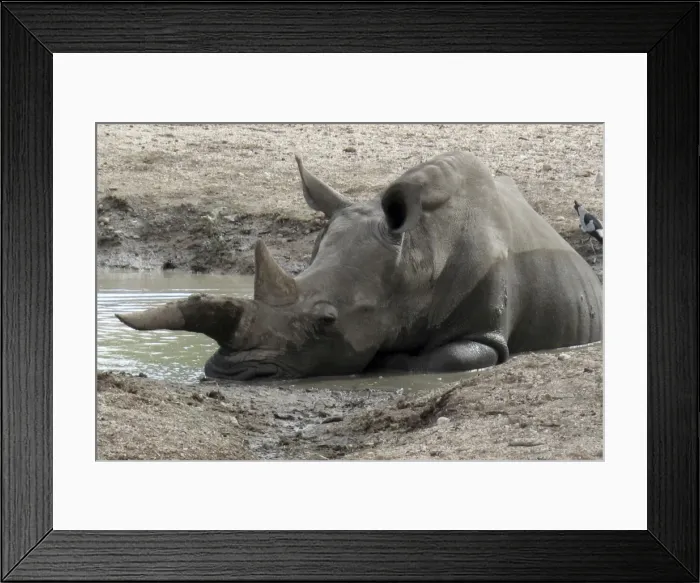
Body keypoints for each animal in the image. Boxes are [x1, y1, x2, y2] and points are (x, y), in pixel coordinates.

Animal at [116, 151, 603, 380]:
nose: (227, 374)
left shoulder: (485, 333)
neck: (418, 254)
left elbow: (437, 359)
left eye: (327, 320)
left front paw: (388, 362)